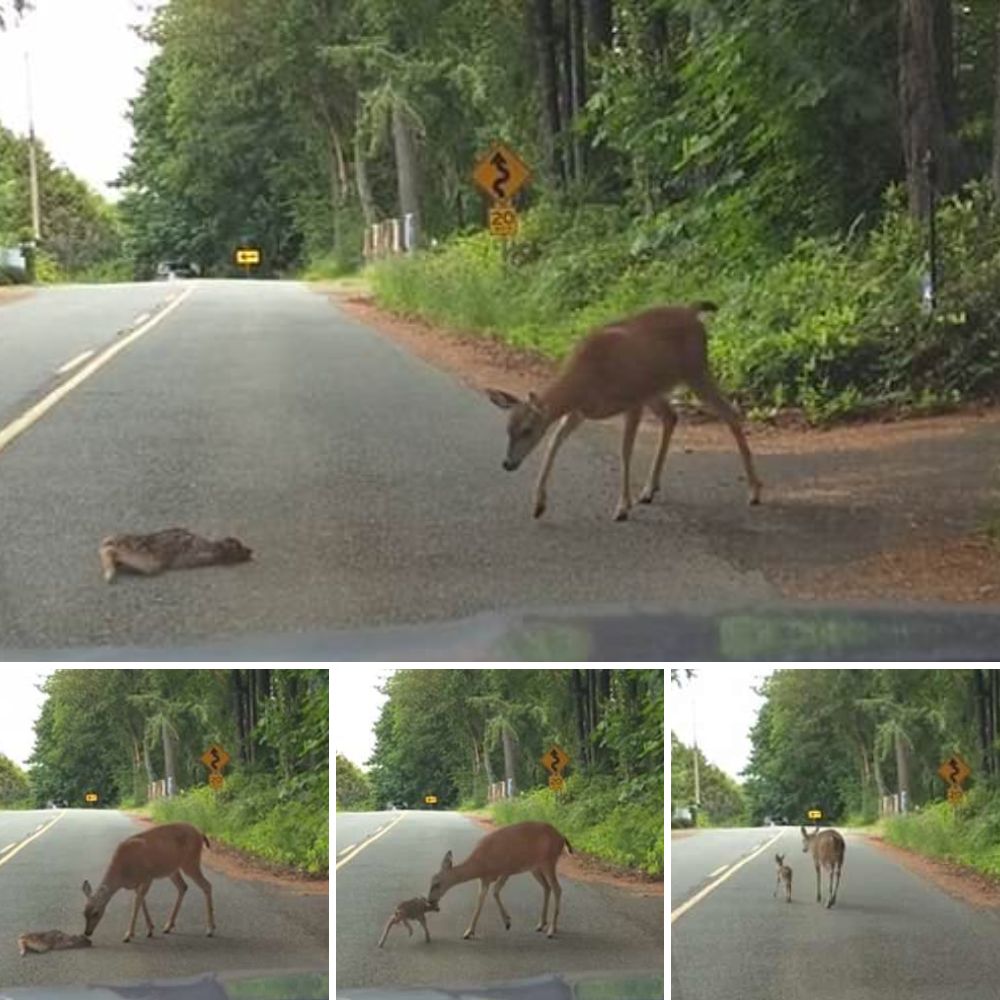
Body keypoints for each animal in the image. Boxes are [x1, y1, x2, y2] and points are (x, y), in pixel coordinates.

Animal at [82, 820, 215, 944]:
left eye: (96, 912)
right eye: (84, 912)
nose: (87, 932)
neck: (122, 874)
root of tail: (200, 833)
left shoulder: (147, 877)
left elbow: (137, 902)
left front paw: (129, 934)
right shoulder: (137, 883)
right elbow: (141, 900)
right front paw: (150, 929)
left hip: (190, 862)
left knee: (207, 885)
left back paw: (210, 929)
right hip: (172, 869)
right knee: (183, 886)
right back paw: (168, 926)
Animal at [428, 820, 572, 936]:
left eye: (437, 883)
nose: (430, 900)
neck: (481, 865)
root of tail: (561, 837)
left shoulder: (506, 869)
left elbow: (495, 891)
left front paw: (507, 921)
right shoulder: (484, 880)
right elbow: (479, 902)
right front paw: (469, 932)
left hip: (549, 861)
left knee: (557, 889)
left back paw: (551, 930)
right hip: (535, 867)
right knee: (547, 887)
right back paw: (541, 924)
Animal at [488, 302, 760, 524]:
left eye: (527, 430)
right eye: (508, 429)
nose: (507, 463)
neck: (585, 381)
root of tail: (693, 312)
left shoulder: (632, 400)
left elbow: (625, 450)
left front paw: (622, 508)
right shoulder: (580, 411)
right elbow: (554, 442)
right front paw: (538, 505)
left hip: (695, 371)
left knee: (731, 414)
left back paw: (754, 492)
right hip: (656, 388)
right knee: (672, 417)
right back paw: (649, 490)